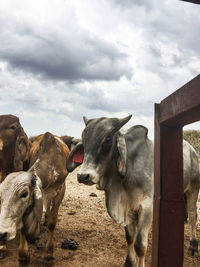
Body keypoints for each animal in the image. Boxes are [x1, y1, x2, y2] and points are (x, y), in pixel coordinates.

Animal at [0, 132, 70, 264]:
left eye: (24, 194)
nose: (2, 233)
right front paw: (23, 255)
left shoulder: (60, 191)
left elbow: (52, 223)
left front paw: (49, 253)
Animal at [67, 116, 200, 267]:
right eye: (84, 141)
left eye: (107, 140)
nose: (83, 176)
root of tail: (191, 149)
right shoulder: (128, 209)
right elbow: (130, 238)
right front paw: (130, 262)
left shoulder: (147, 208)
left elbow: (140, 245)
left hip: (193, 189)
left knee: (193, 215)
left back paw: (193, 246)